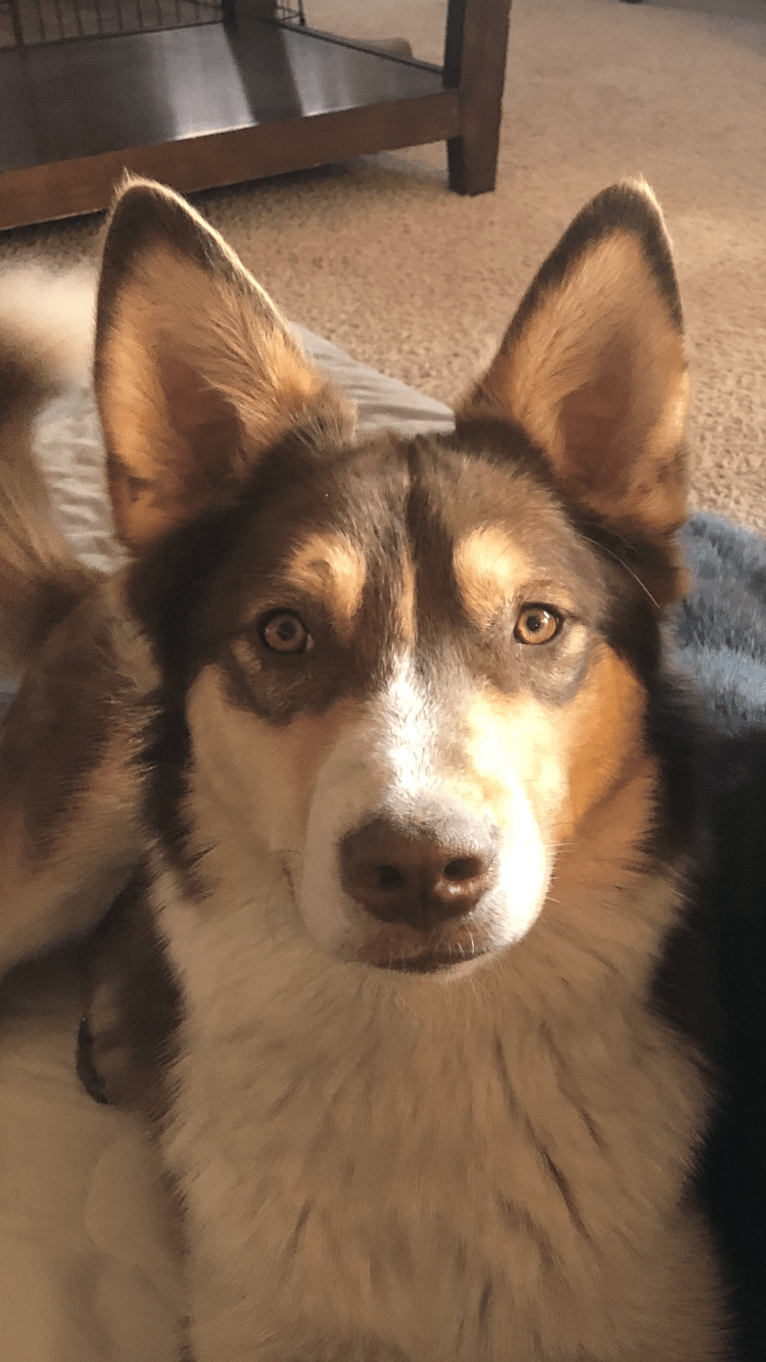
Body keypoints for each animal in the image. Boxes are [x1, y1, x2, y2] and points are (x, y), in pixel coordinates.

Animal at [0, 175, 741, 1356]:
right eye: (285, 632)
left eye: (537, 622)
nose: (420, 871)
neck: (421, 1056)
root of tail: (98, 580)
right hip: (56, 846)